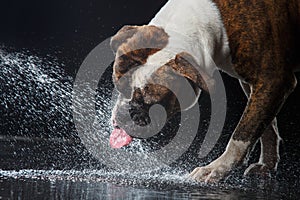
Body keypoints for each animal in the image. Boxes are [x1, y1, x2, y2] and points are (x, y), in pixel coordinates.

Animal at [109, 0, 298, 182]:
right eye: (118, 87)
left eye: (152, 102)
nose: (123, 114)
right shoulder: (257, 86)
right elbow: (266, 126)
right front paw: (267, 165)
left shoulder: (273, 80)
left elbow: (244, 132)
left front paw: (217, 168)